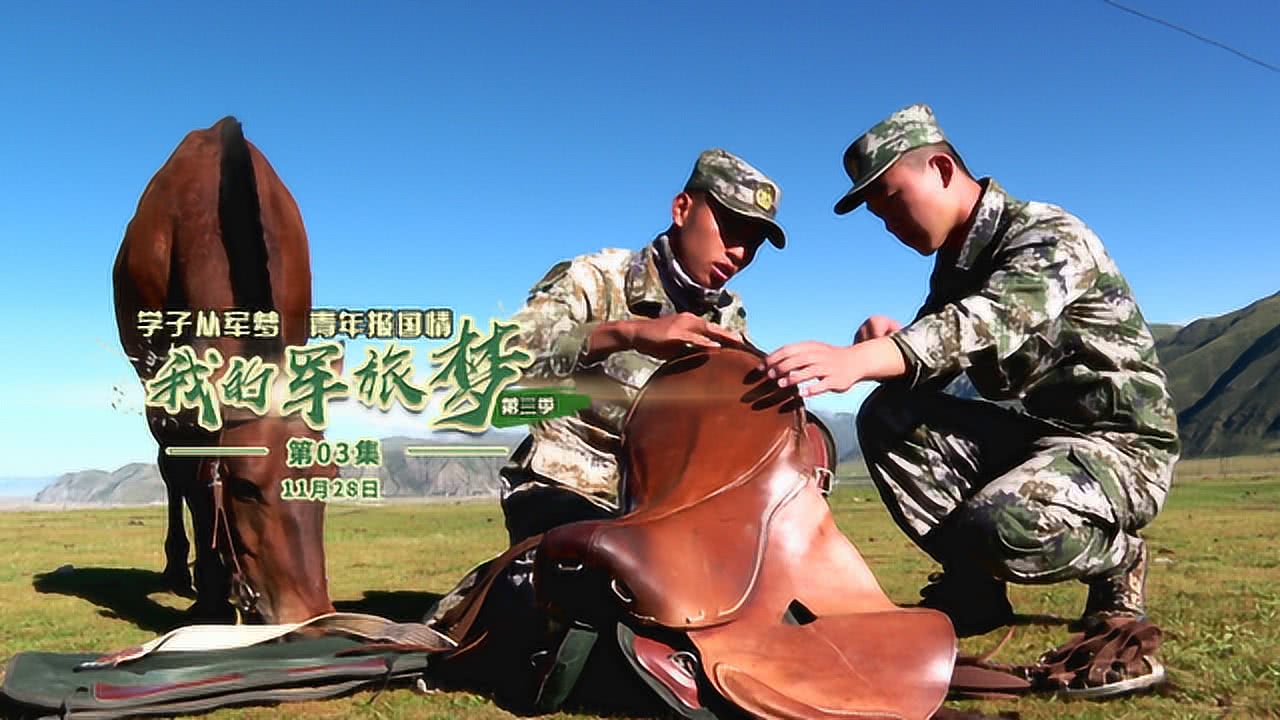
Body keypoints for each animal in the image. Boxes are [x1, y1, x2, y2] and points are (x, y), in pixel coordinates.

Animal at [114, 117, 335, 622]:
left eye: (331, 479)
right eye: (247, 488)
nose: (311, 614)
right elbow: (191, 480)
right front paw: (211, 596)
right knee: (171, 471)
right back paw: (181, 568)